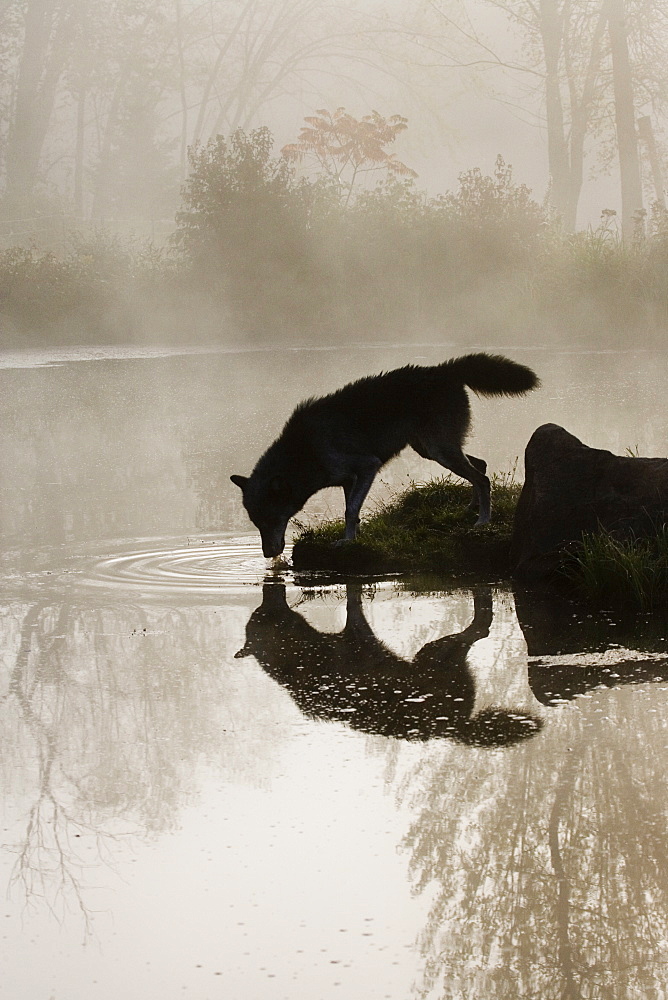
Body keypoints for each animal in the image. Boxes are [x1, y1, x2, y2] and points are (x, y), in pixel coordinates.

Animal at [230, 352, 536, 560]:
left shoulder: (368, 467)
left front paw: (346, 542)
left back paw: (482, 521)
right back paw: (470, 509)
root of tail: (444, 369)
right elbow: (352, 511)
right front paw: (354, 539)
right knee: (480, 466)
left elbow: (350, 511)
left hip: (439, 451)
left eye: (269, 522)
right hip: (430, 450)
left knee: (482, 478)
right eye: (256, 524)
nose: (268, 555)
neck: (305, 452)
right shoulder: (349, 480)